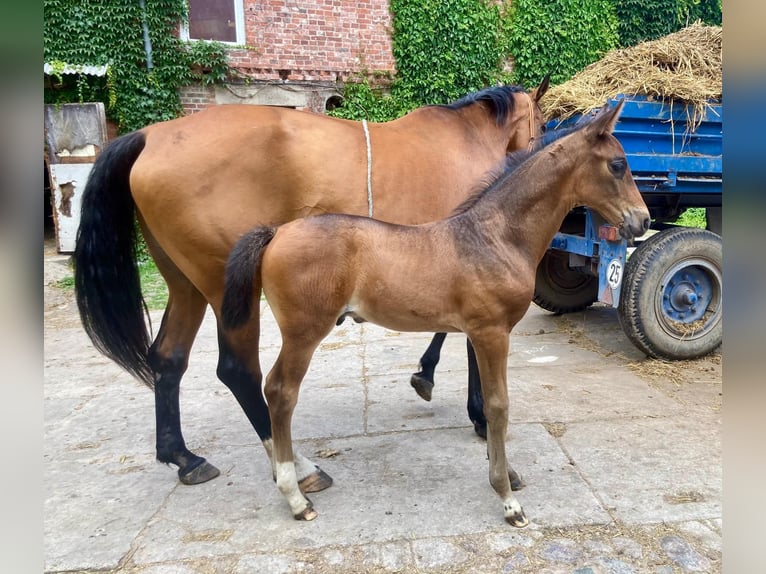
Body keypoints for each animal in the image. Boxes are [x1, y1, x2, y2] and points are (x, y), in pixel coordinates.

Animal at [73, 79, 550, 492]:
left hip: (185, 284)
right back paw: (296, 468)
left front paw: (430, 378)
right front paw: (476, 412)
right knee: (240, 371)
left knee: (168, 358)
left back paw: (183, 457)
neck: (466, 139)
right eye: (544, 123)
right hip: (225, 290)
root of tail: (149, 136)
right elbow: (464, 342)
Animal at [220, 100, 650, 526]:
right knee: (280, 392)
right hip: (304, 332)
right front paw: (508, 499)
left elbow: (487, 399)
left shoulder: (479, 332)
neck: (495, 237)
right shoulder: (492, 332)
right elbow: (498, 405)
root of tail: (277, 231)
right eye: (618, 164)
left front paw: (505, 472)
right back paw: (296, 495)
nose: (642, 220)